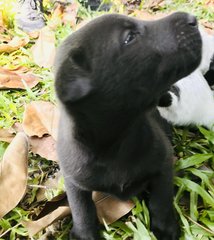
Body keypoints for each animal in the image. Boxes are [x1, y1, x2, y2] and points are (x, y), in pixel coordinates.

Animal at [54, 12, 201, 240]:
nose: (192, 19)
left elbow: (161, 200)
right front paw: (85, 234)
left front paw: (165, 228)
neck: (117, 142)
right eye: (130, 37)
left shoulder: (164, 164)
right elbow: (81, 210)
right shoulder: (74, 181)